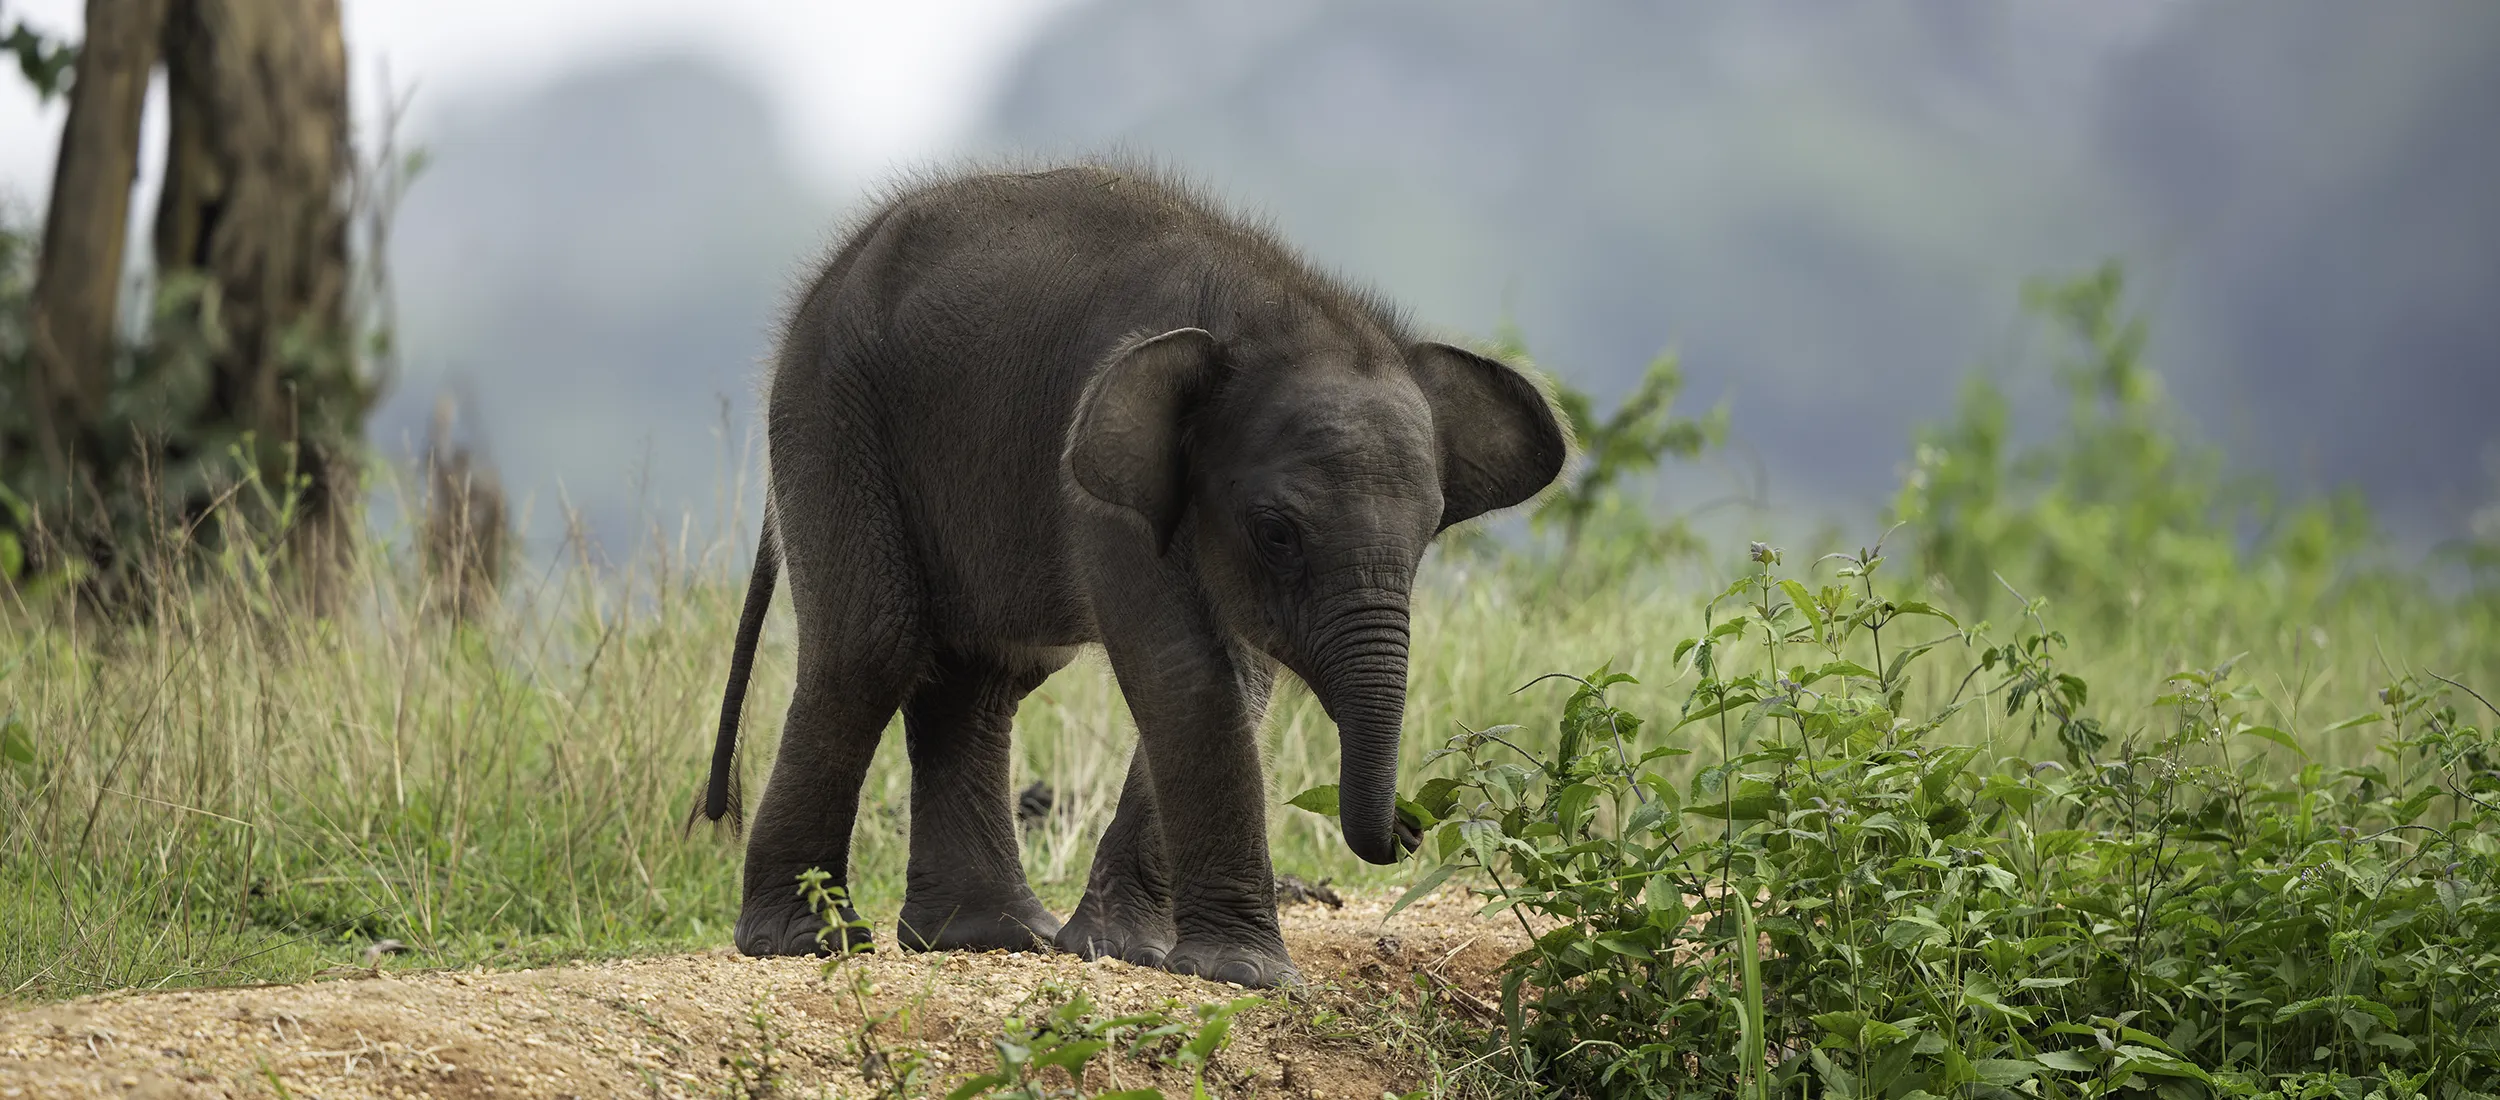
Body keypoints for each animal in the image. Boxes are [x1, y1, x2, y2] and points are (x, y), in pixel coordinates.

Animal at [700, 163, 1560, 990]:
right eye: (1277, 533)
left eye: (1426, 538)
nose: (1413, 825)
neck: (1269, 308)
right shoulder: (1102, 483)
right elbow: (1185, 671)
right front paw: (1252, 977)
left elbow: (1239, 677)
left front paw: (1123, 951)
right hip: (832, 417)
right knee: (871, 649)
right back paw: (806, 942)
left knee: (984, 678)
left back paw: (988, 935)